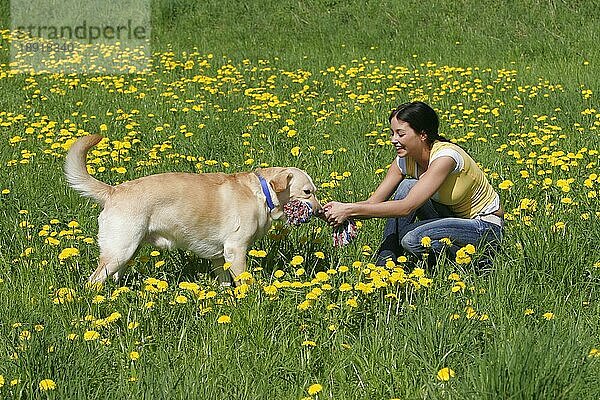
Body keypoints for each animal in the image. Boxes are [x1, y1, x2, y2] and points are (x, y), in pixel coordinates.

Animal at [63, 136, 322, 286]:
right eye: (307, 192)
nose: (321, 211)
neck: (261, 193)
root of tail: (114, 190)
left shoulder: (220, 256)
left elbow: (224, 281)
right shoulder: (235, 250)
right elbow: (244, 282)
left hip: (126, 253)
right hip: (120, 250)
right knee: (92, 281)